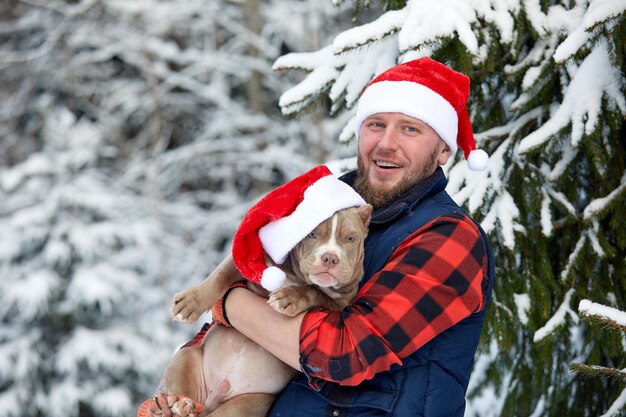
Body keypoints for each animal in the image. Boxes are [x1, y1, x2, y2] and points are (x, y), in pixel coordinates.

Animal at [148, 205, 368, 416]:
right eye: (312, 234)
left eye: (351, 239)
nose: (330, 258)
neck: (297, 276)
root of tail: (214, 397)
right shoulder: (248, 258)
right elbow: (220, 275)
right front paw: (190, 303)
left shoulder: (341, 303)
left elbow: (314, 291)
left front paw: (289, 298)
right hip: (185, 358)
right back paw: (177, 405)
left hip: (249, 404)